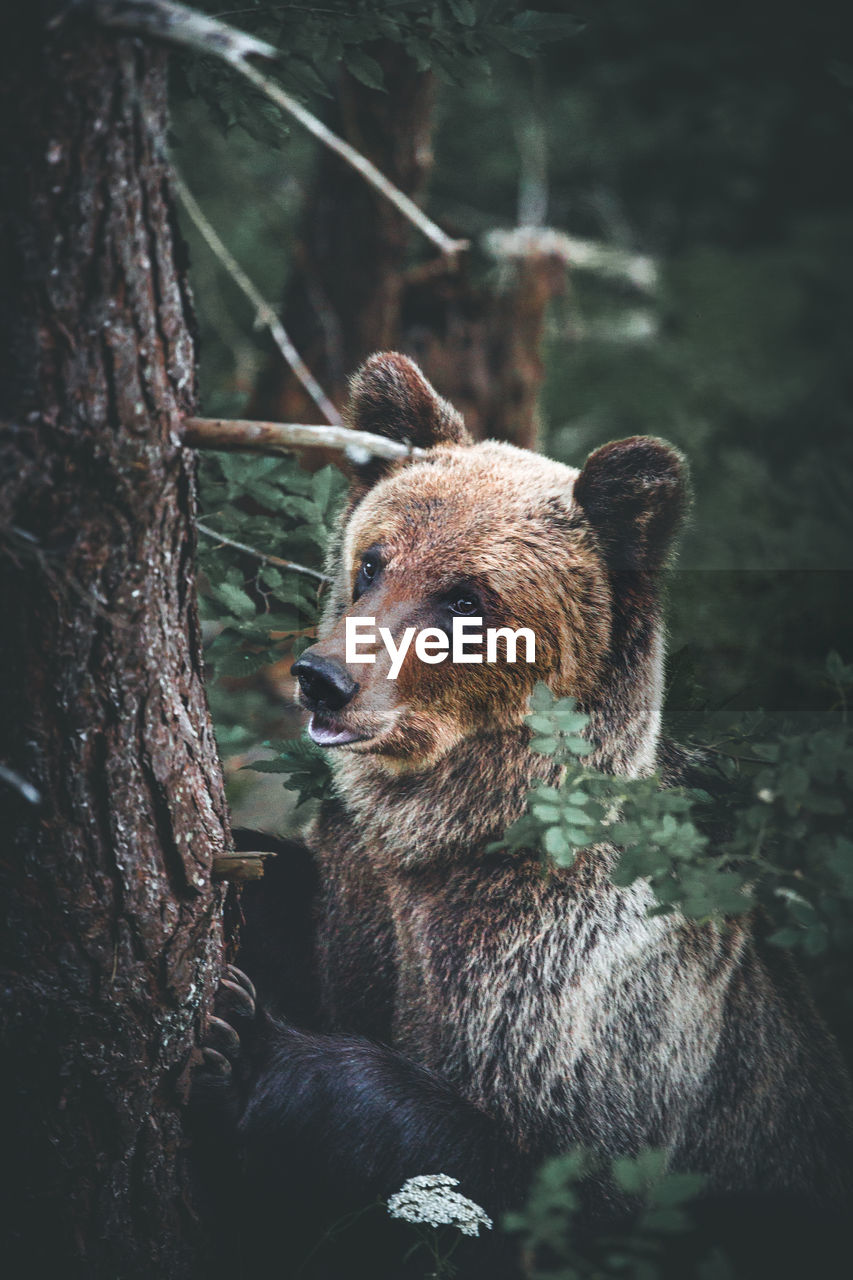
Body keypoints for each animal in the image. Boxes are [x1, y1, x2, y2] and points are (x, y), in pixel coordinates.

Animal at [199, 353, 850, 1280]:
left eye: (465, 597)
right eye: (374, 562)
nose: (324, 678)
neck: (455, 832)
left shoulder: (577, 990)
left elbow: (540, 1188)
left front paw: (246, 1041)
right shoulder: (362, 902)